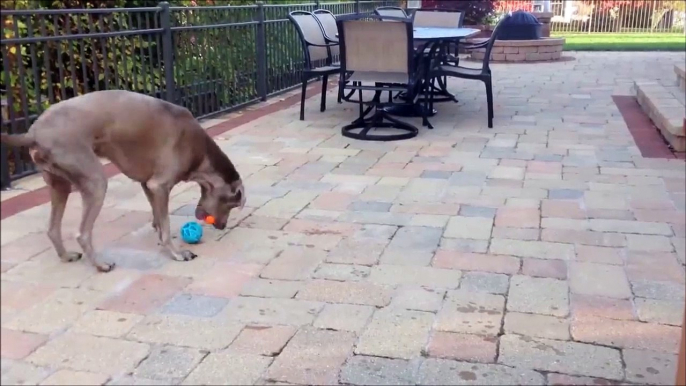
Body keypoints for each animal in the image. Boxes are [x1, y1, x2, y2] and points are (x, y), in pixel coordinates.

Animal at [0, 90, 247, 272]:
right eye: (231, 205)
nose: (222, 226)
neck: (200, 154)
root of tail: (33, 133)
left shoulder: (148, 184)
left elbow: (159, 220)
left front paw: (160, 237)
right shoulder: (160, 185)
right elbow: (166, 226)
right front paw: (177, 253)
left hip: (59, 182)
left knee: (52, 228)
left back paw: (66, 255)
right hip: (94, 180)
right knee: (83, 233)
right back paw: (101, 264)